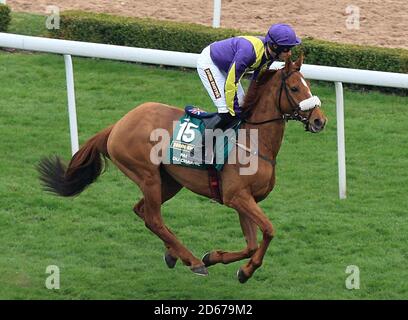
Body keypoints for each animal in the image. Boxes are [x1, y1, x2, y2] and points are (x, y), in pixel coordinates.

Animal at [37, 52, 326, 282]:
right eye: (295, 88)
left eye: (309, 85)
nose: (320, 121)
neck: (254, 141)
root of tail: (118, 124)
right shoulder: (237, 196)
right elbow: (269, 230)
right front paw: (242, 269)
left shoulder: (246, 199)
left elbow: (252, 244)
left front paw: (222, 261)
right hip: (147, 175)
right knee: (153, 218)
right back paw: (192, 261)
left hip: (170, 182)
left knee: (142, 211)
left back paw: (175, 254)